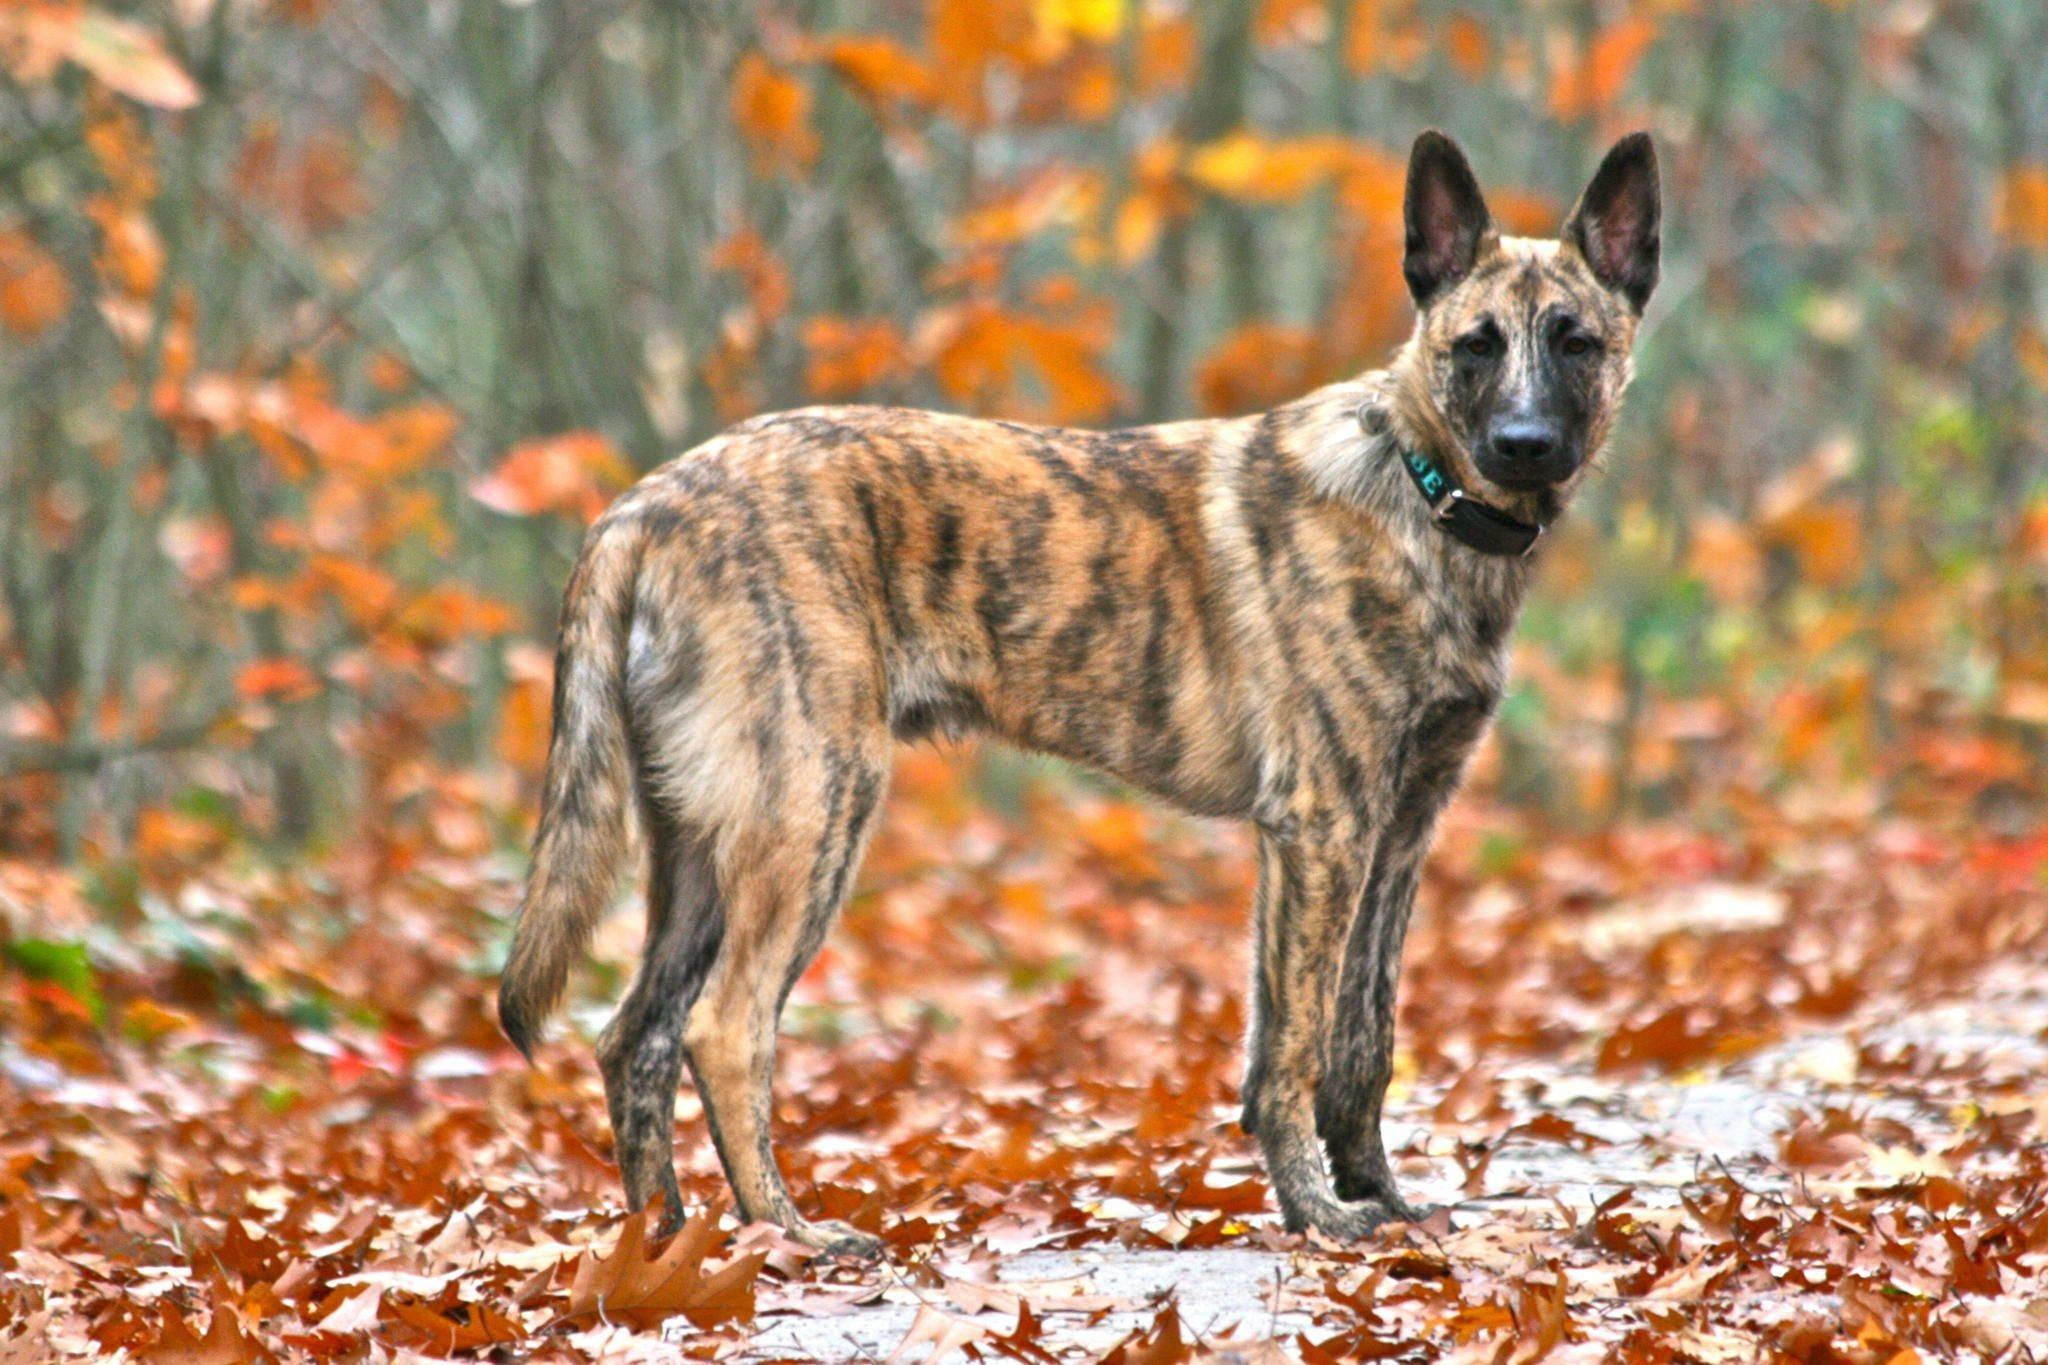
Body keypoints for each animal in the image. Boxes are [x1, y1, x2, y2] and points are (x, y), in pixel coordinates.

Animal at [499, 130, 1662, 1260]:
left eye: (1575, 343)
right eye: (1475, 346)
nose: (1523, 444)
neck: (1421, 492)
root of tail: (644, 507)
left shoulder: (1398, 834)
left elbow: (1359, 1042)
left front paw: (1377, 1194)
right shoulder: (1320, 830)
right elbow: (1289, 1046)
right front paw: (1318, 1215)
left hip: (701, 848)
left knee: (636, 1037)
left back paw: (663, 1245)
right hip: (811, 812)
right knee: (723, 1029)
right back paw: (786, 1231)